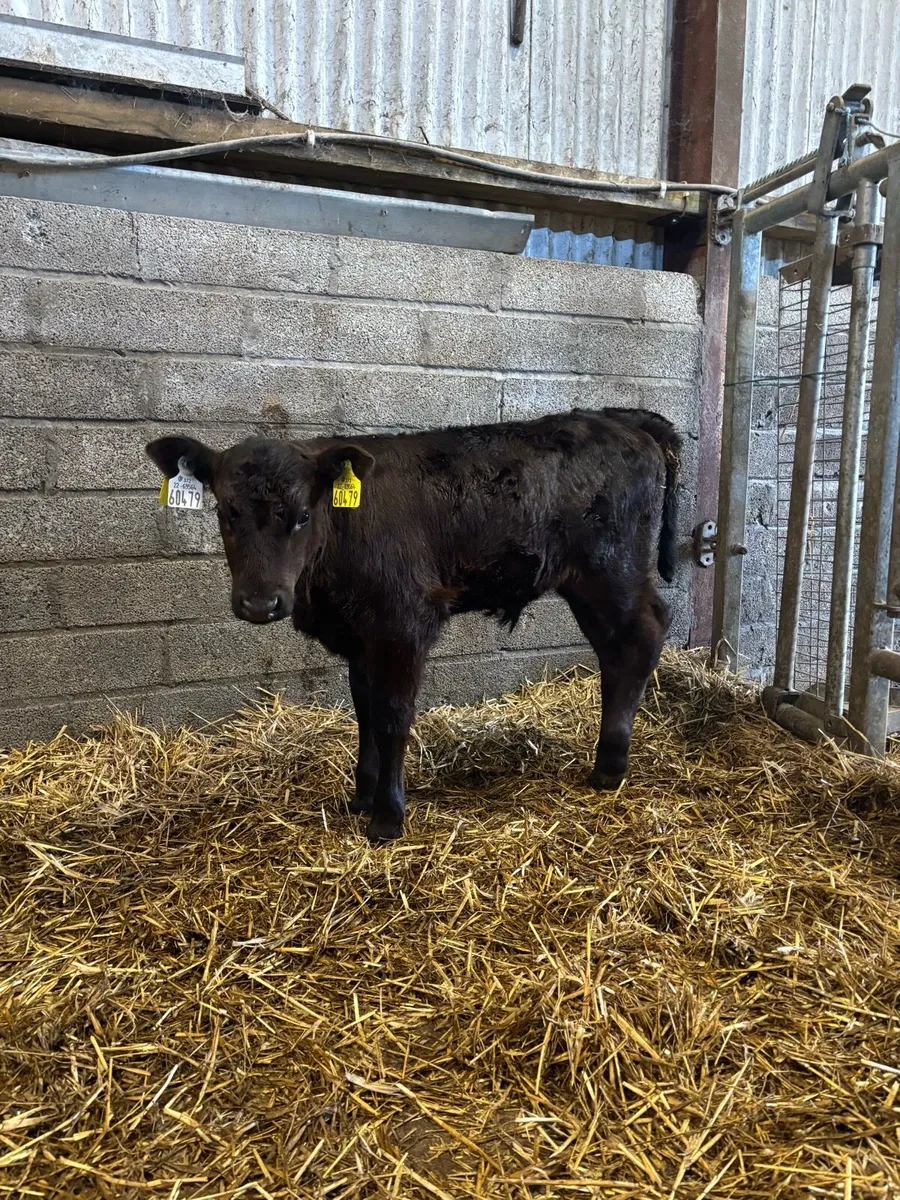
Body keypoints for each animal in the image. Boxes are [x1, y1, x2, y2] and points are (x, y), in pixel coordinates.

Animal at [147, 408, 680, 843]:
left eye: (301, 516)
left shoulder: (403, 625)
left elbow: (392, 717)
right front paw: (361, 797)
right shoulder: (360, 636)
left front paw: (387, 817)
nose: (260, 603)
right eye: (225, 511)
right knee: (615, 652)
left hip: (610, 569)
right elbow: (364, 711)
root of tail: (618, 418)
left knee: (644, 633)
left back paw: (610, 767)